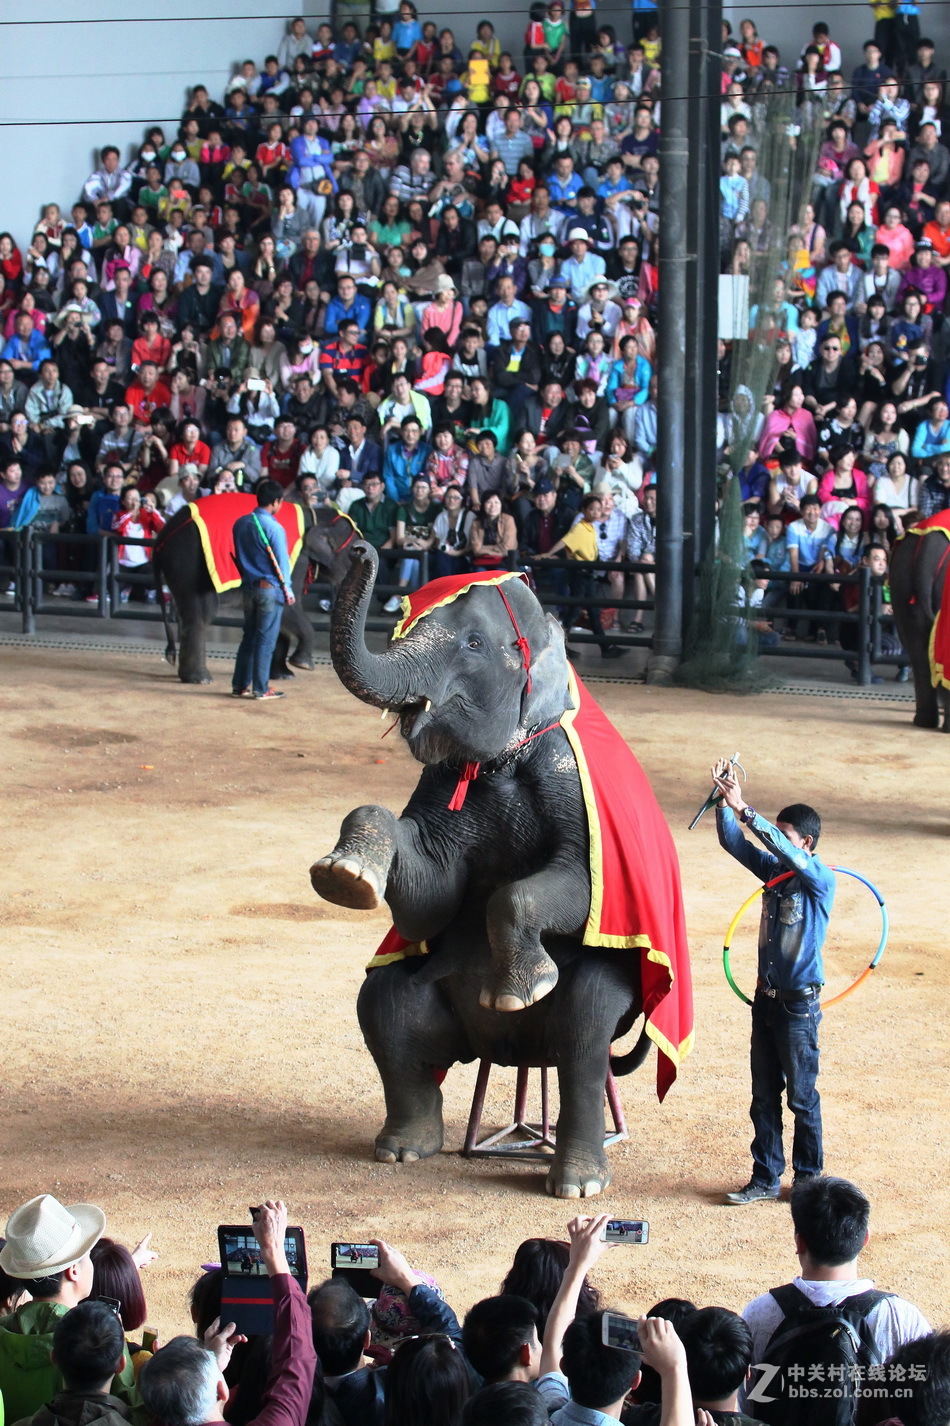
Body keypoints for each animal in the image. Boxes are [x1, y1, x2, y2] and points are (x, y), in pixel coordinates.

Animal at [155, 501, 355, 684]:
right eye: (355, 551)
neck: (316, 515)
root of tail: (163, 535)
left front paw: (283, 676)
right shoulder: (292, 559)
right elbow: (287, 605)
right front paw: (302, 664)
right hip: (189, 563)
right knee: (201, 614)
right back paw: (201, 679)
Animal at [310, 539, 687, 1197]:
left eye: (472, 644)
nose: (357, 547)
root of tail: (512, 1054)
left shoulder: (570, 778)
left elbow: (575, 885)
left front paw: (519, 991)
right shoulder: (441, 782)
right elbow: (431, 895)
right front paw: (344, 878)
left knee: (584, 1038)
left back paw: (576, 1182)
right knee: (384, 1005)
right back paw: (404, 1151)